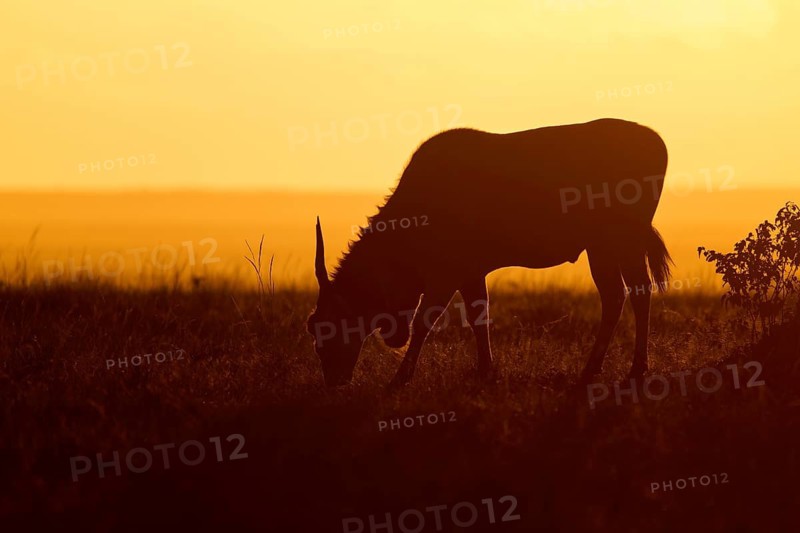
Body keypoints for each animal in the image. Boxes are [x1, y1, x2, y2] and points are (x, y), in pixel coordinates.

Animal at [307, 118, 671, 388]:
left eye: (328, 328)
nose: (335, 381)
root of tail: (655, 141)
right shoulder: (471, 274)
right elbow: (478, 316)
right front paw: (486, 371)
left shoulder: (446, 275)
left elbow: (426, 321)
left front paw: (399, 379)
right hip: (604, 248)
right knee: (621, 295)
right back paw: (596, 370)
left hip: (616, 243)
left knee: (632, 294)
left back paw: (632, 370)